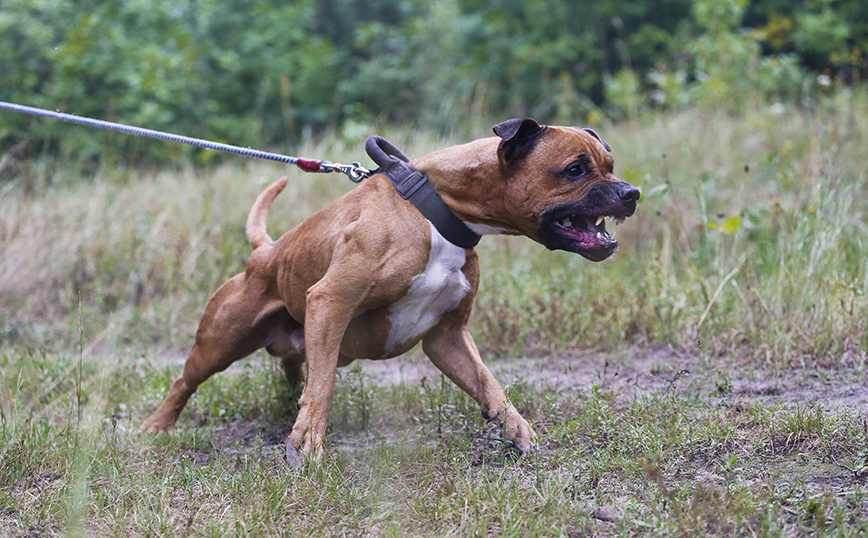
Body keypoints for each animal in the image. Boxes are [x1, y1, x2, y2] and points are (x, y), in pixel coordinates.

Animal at [139, 117, 640, 460]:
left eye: (610, 165)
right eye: (574, 170)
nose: (631, 193)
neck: (437, 209)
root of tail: (267, 251)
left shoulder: (448, 337)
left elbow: (490, 385)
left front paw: (517, 430)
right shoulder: (331, 301)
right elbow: (322, 387)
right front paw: (308, 444)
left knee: (293, 367)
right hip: (219, 344)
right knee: (186, 381)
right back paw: (157, 426)